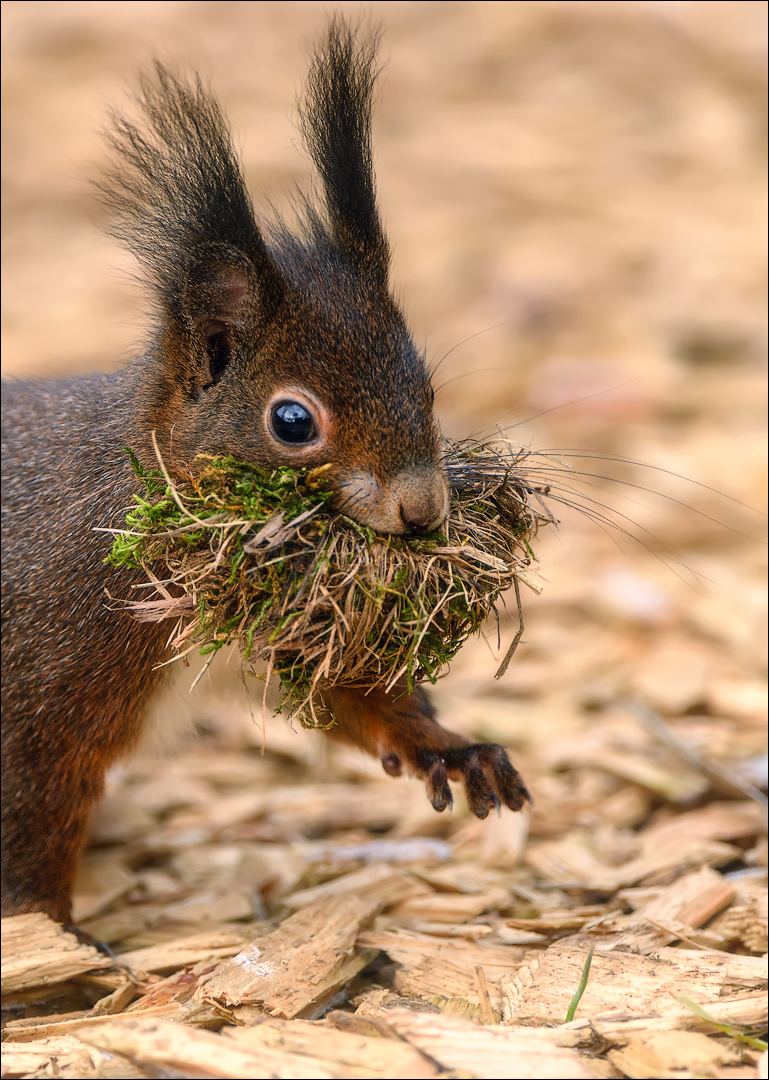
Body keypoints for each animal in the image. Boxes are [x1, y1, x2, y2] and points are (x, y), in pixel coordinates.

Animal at [0, 21, 529, 924]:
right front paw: (55, 935)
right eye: (292, 422)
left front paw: (447, 747)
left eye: (426, 388)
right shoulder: (48, 684)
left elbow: (347, 698)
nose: (422, 510)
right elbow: (33, 827)